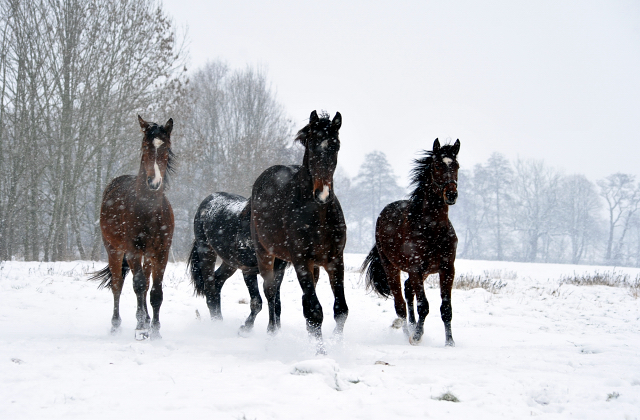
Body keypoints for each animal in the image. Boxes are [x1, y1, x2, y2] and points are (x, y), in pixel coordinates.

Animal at [90, 115, 175, 342]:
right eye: (145, 146)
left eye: (166, 147)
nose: (154, 182)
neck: (148, 210)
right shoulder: (133, 251)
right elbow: (137, 286)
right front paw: (141, 329)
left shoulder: (161, 252)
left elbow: (155, 292)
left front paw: (155, 330)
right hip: (114, 250)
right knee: (118, 285)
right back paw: (116, 325)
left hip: (148, 256)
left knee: (145, 285)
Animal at [188, 191, 288, 332]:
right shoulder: (248, 270)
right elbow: (257, 302)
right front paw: (246, 328)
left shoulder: (279, 270)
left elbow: (275, 298)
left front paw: (274, 329)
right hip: (207, 253)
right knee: (210, 288)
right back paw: (215, 325)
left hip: (229, 263)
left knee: (218, 281)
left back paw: (220, 320)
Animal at [251, 109, 350, 352]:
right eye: (312, 146)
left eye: (336, 146)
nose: (323, 194)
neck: (319, 215)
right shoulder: (301, 260)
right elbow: (314, 311)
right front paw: (321, 353)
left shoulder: (335, 260)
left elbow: (340, 310)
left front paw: (337, 345)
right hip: (265, 255)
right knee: (270, 292)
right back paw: (271, 334)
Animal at [360, 139, 460, 346]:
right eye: (437, 166)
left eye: (456, 166)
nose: (451, 194)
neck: (432, 229)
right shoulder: (416, 268)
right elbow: (424, 306)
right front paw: (417, 336)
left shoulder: (447, 269)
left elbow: (446, 309)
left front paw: (450, 342)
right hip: (391, 267)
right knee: (400, 304)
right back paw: (407, 331)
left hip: (422, 273)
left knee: (407, 291)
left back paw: (413, 326)